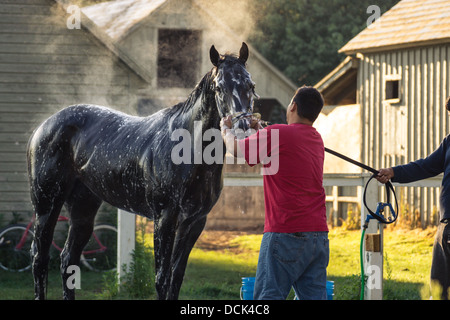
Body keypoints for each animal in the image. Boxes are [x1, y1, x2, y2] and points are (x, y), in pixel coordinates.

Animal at [29, 43, 256, 300]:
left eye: (250, 85)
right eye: (219, 87)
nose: (243, 129)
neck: (187, 149)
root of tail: (43, 127)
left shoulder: (194, 222)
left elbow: (176, 277)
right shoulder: (164, 218)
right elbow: (162, 279)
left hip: (83, 209)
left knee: (68, 260)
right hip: (47, 206)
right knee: (40, 259)